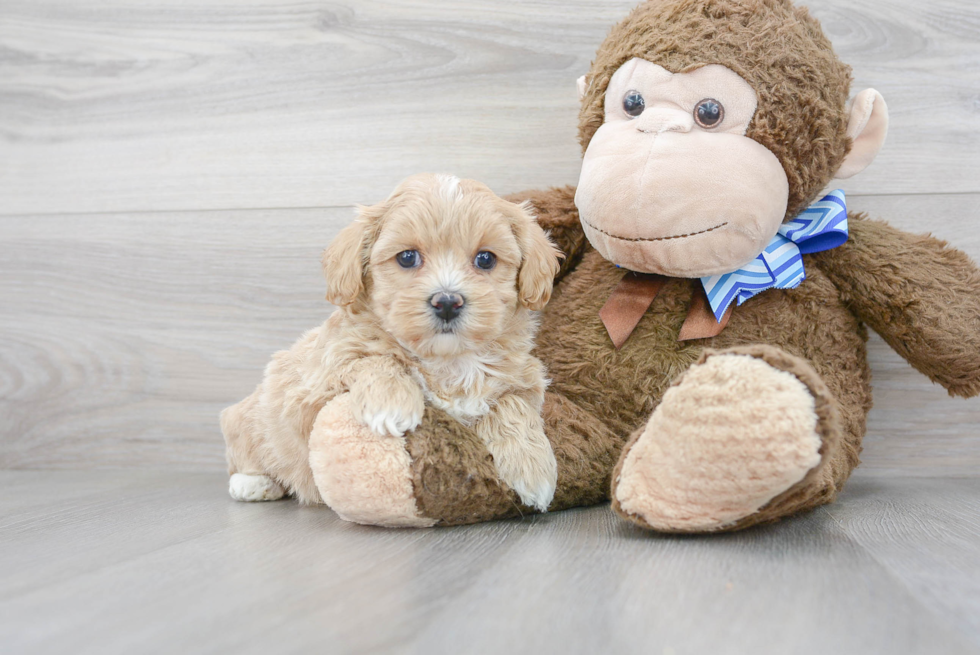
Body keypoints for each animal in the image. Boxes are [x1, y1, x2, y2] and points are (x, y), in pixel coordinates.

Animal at [219, 173, 564, 512]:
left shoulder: (525, 381)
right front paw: (391, 402)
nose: (447, 302)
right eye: (407, 258)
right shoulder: (310, 392)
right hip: (255, 417)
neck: (448, 360)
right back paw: (254, 483)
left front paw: (534, 469)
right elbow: (373, 358)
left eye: (485, 259)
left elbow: (512, 404)